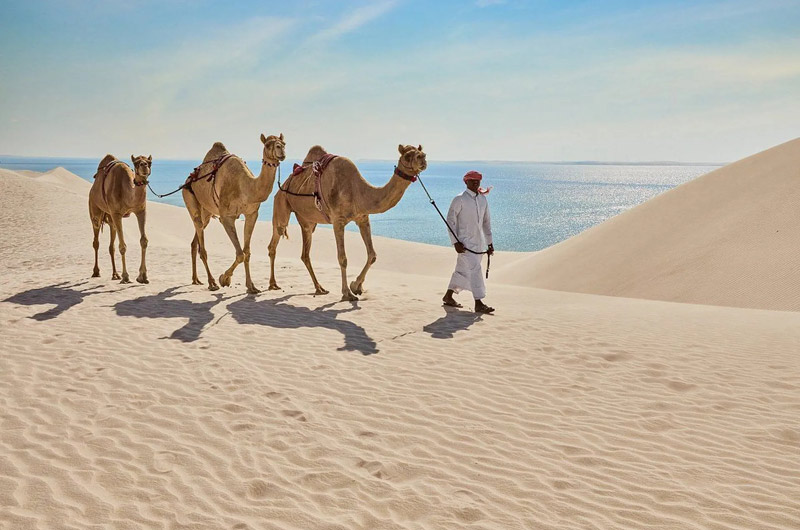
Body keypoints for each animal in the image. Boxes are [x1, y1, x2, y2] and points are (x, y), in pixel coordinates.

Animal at [88, 154, 152, 283]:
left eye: (149, 162)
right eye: (136, 162)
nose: (144, 165)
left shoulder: (141, 211)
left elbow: (144, 241)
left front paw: (142, 276)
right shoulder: (117, 214)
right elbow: (122, 246)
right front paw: (125, 276)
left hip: (110, 218)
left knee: (111, 246)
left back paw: (115, 274)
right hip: (95, 209)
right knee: (96, 241)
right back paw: (96, 272)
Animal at [183, 133, 285, 294]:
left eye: (284, 143)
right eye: (268, 144)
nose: (281, 150)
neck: (246, 187)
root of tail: (188, 179)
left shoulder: (252, 214)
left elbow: (246, 252)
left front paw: (251, 286)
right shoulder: (226, 217)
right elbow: (240, 254)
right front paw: (224, 279)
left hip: (206, 211)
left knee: (196, 239)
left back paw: (196, 279)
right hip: (188, 196)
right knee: (200, 237)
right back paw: (212, 282)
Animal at [268, 144, 427, 301]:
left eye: (421, 152)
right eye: (408, 155)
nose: (423, 158)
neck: (357, 191)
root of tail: (285, 183)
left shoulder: (363, 218)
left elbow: (372, 255)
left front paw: (356, 286)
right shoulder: (337, 221)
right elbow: (342, 258)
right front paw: (347, 293)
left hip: (308, 221)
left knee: (305, 254)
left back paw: (319, 288)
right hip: (281, 203)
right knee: (274, 241)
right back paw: (272, 284)